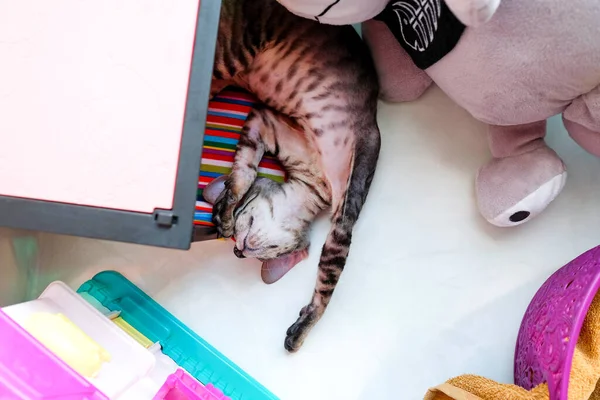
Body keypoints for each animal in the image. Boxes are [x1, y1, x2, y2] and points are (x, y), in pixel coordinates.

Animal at [210, 0, 380, 352]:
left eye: (245, 254)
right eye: (236, 245)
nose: (237, 250)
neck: (315, 184)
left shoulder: (263, 120)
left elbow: (243, 166)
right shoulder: (345, 220)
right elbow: (328, 286)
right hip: (235, 50)